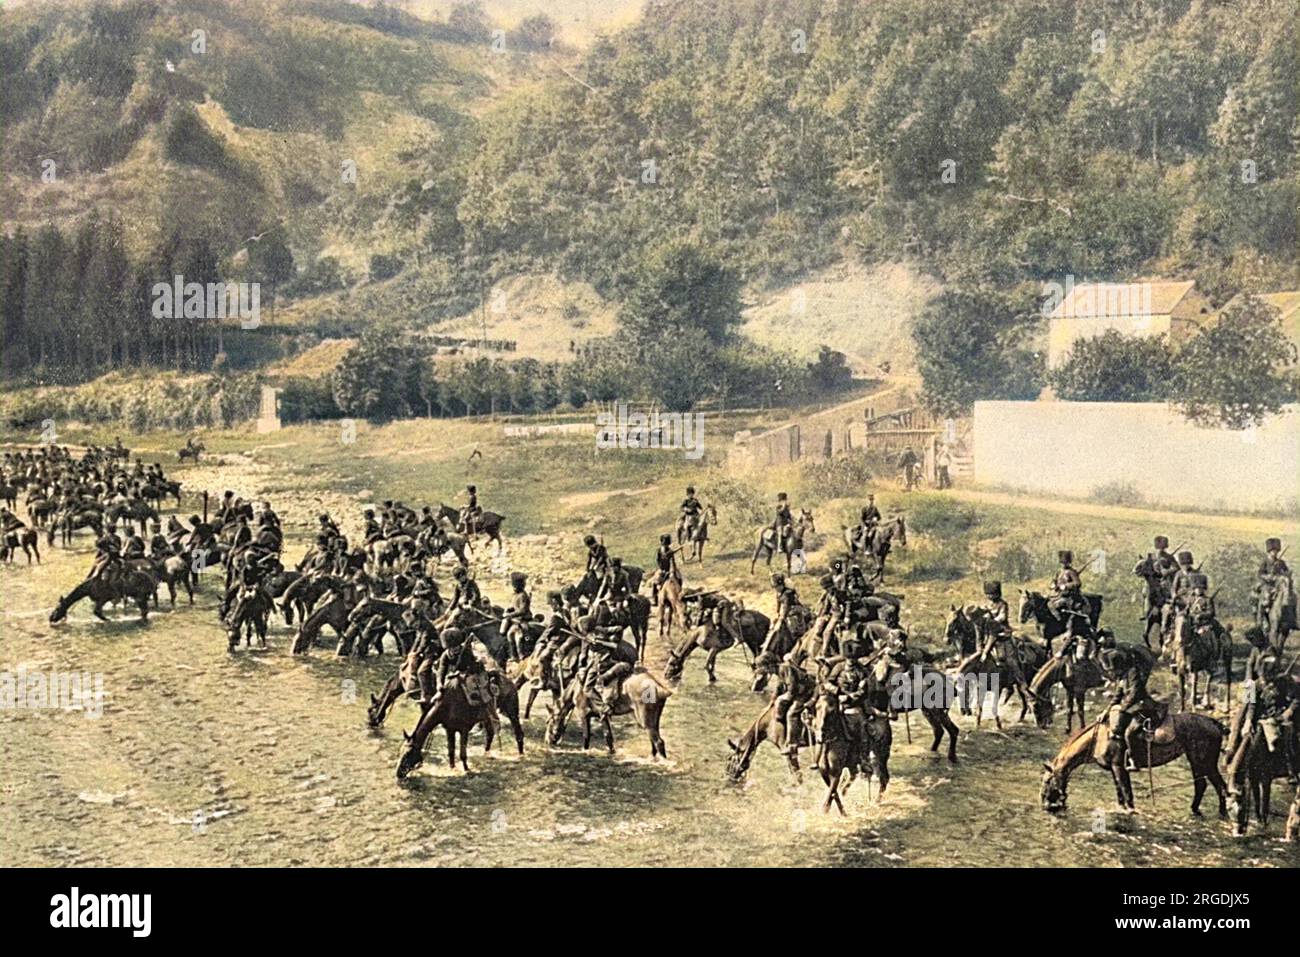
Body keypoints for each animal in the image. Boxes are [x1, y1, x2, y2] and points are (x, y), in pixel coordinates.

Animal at [1034, 712, 1227, 816]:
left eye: (1047, 781)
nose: (1044, 806)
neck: (1099, 739)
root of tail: (1215, 724)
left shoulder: (1120, 768)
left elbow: (1128, 794)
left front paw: (1132, 811)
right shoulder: (1114, 770)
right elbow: (1120, 794)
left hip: (1204, 761)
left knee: (1219, 785)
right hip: (1197, 762)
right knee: (1203, 785)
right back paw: (1196, 809)